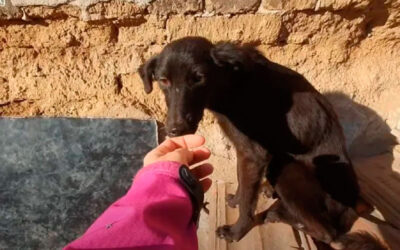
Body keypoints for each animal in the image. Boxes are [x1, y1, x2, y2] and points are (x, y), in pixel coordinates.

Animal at [139, 37, 374, 246]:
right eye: (164, 80)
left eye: (198, 78)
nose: (175, 130)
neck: (230, 83)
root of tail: (351, 208)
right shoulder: (243, 151)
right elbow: (242, 184)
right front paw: (235, 199)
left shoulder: (254, 155)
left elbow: (247, 203)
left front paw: (236, 231)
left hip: (287, 169)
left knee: (327, 233)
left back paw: (281, 217)